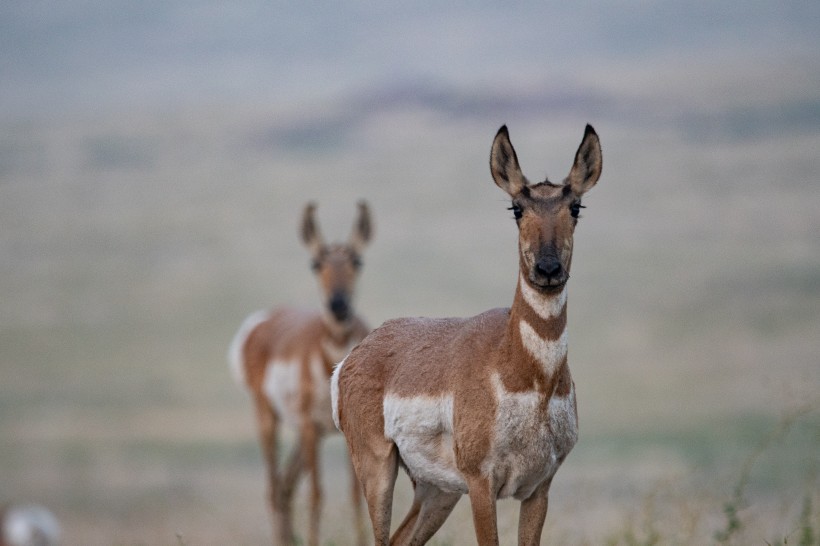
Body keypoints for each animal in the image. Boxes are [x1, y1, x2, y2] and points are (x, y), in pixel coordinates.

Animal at [229, 200, 374, 544]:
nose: (338, 304)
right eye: (315, 263)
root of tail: (263, 320)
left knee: (285, 485)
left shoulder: (348, 430)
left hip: (302, 434)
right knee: (274, 487)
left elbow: (355, 494)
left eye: (357, 260)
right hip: (270, 420)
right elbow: (317, 495)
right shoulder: (310, 428)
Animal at [330, 125, 604, 540]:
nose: (548, 269)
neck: (530, 378)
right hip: (377, 468)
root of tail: (355, 354)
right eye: (516, 208)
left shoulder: (538, 489)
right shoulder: (480, 484)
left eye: (575, 207)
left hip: (437, 491)